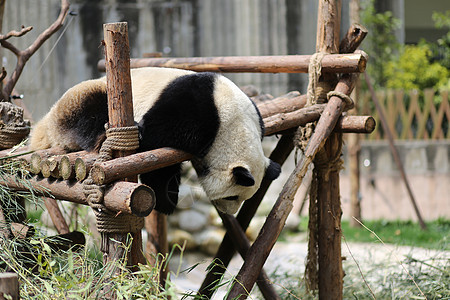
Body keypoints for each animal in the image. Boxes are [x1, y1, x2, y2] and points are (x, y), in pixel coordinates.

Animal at [29, 67, 280, 214]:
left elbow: (161, 166)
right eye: (232, 195)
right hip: (82, 98)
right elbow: (159, 132)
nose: (229, 212)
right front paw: (166, 200)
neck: (233, 126)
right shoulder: (196, 107)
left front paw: (164, 200)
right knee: (89, 113)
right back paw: (104, 137)